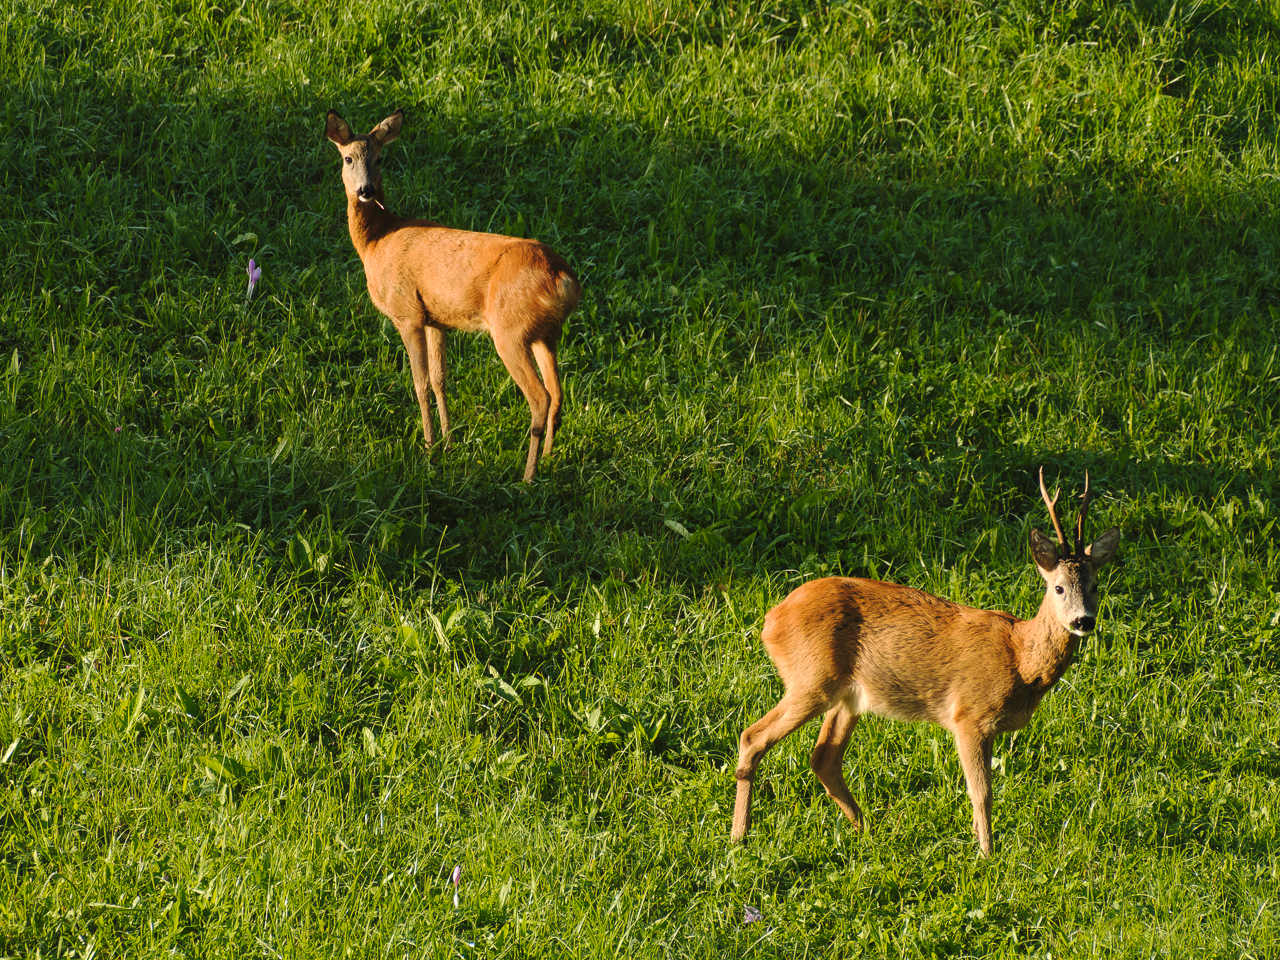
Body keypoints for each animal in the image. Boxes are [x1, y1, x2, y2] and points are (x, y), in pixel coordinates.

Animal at [325, 110, 581, 483]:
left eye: (380, 158)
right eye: (348, 158)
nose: (366, 190)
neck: (377, 241)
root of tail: (563, 278)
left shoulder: (407, 313)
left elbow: (419, 383)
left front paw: (429, 446)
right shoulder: (436, 318)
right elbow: (440, 379)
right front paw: (449, 443)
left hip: (510, 330)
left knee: (540, 397)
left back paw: (528, 476)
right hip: (546, 333)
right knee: (559, 392)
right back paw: (549, 457)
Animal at [732, 471, 1121, 855]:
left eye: (1095, 585)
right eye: (1058, 587)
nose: (1083, 621)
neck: (1020, 659)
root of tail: (771, 620)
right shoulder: (968, 716)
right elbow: (982, 792)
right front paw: (987, 855)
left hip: (849, 696)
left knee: (824, 758)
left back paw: (868, 832)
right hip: (811, 679)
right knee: (753, 736)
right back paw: (740, 837)